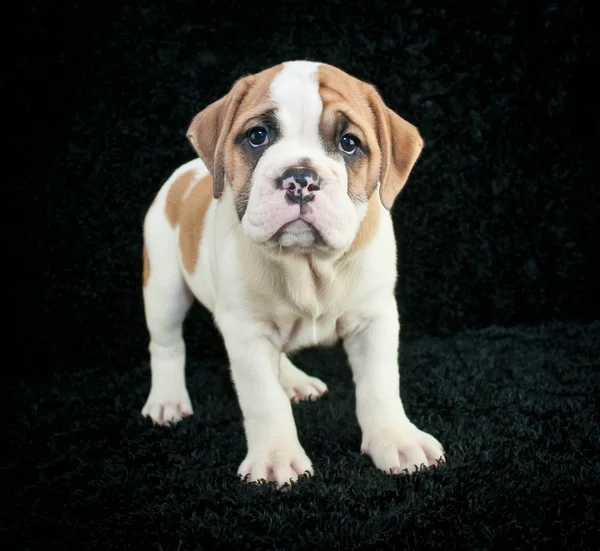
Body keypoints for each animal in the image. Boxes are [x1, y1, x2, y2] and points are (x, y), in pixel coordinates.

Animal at [143, 60, 446, 488]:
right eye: (258, 136)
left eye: (349, 143)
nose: (300, 177)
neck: (308, 263)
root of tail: (186, 173)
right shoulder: (247, 332)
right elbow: (263, 399)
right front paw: (276, 458)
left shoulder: (374, 320)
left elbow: (381, 386)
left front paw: (397, 441)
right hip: (164, 287)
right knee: (166, 344)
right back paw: (167, 399)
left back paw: (293, 380)